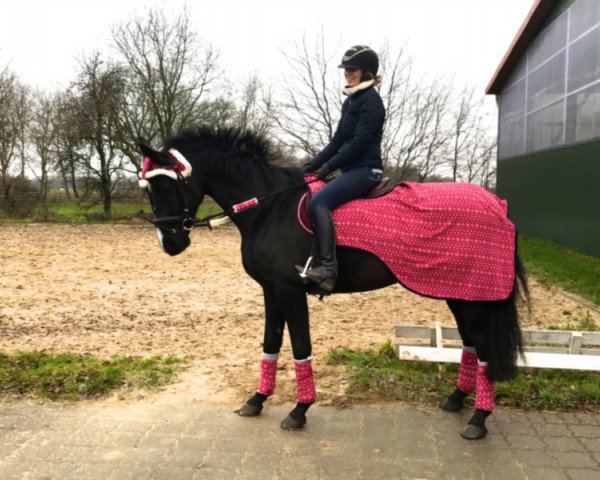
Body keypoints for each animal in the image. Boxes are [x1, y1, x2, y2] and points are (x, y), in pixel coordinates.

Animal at [138, 126, 528, 438]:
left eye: (166, 186)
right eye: (149, 189)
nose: (170, 243)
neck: (270, 208)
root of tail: (498, 205)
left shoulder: (290, 291)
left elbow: (300, 346)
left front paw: (299, 411)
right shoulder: (270, 291)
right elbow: (270, 343)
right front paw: (257, 400)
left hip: (471, 298)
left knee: (482, 347)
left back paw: (478, 419)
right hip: (460, 293)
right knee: (471, 344)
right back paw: (456, 401)